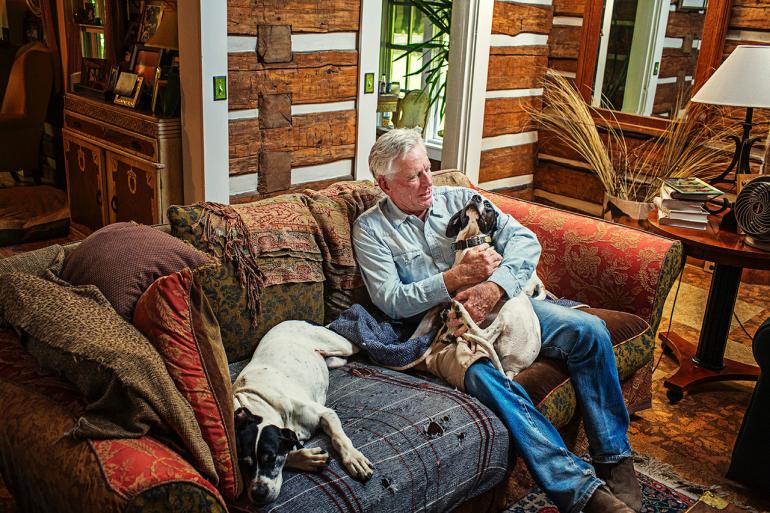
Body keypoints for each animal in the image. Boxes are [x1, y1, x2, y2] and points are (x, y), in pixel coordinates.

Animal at [232, 320, 374, 504]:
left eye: (270, 458)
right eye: (243, 464)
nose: (258, 494)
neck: (260, 405)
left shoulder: (326, 413)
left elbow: (339, 438)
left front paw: (354, 458)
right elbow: (288, 453)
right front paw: (308, 459)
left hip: (342, 346)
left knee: (358, 344)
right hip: (334, 360)